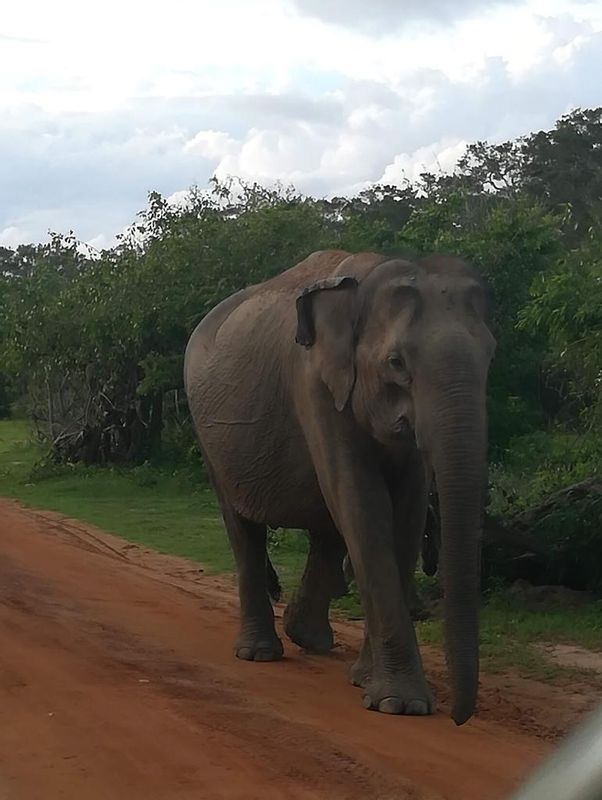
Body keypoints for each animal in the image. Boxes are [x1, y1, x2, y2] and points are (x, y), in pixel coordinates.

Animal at [185, 248, 494, 724]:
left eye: (491, 355)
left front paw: (368, 683)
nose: (460, 718)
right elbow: (363, 504)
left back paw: (309, 639)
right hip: (209, 436)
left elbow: (405, 512)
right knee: (243, 528)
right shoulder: (312, 384)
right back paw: (259, 653)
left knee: (325, 529)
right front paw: (400, 704)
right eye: (396, 363)